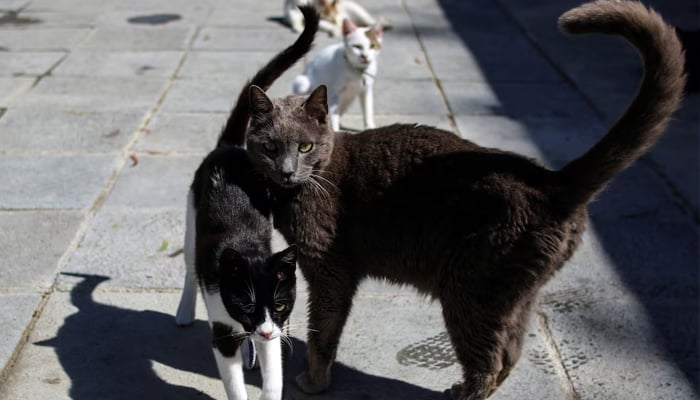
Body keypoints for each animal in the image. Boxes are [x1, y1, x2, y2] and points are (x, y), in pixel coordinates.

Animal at [174, 6, 318, 400]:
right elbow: (234, 381)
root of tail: (229, 147)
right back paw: (183, 312)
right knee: (189, 268)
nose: (265, 329)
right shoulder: (223, 328)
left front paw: (263, 366)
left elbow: (274, 376)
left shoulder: (276, 330)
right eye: (248, 304)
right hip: (191, 215)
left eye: (281, 304)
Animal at [243, 1, 688, 398]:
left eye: (304, 147)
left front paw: (313, 381)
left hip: (469, 288)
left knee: (489, 361)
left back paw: (461, 392)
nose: (287, 170)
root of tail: (551, 180)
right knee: (510, 354)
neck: (305, 184)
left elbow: (323, 330)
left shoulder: (329, 268)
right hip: (514, 294)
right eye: (269, 148)